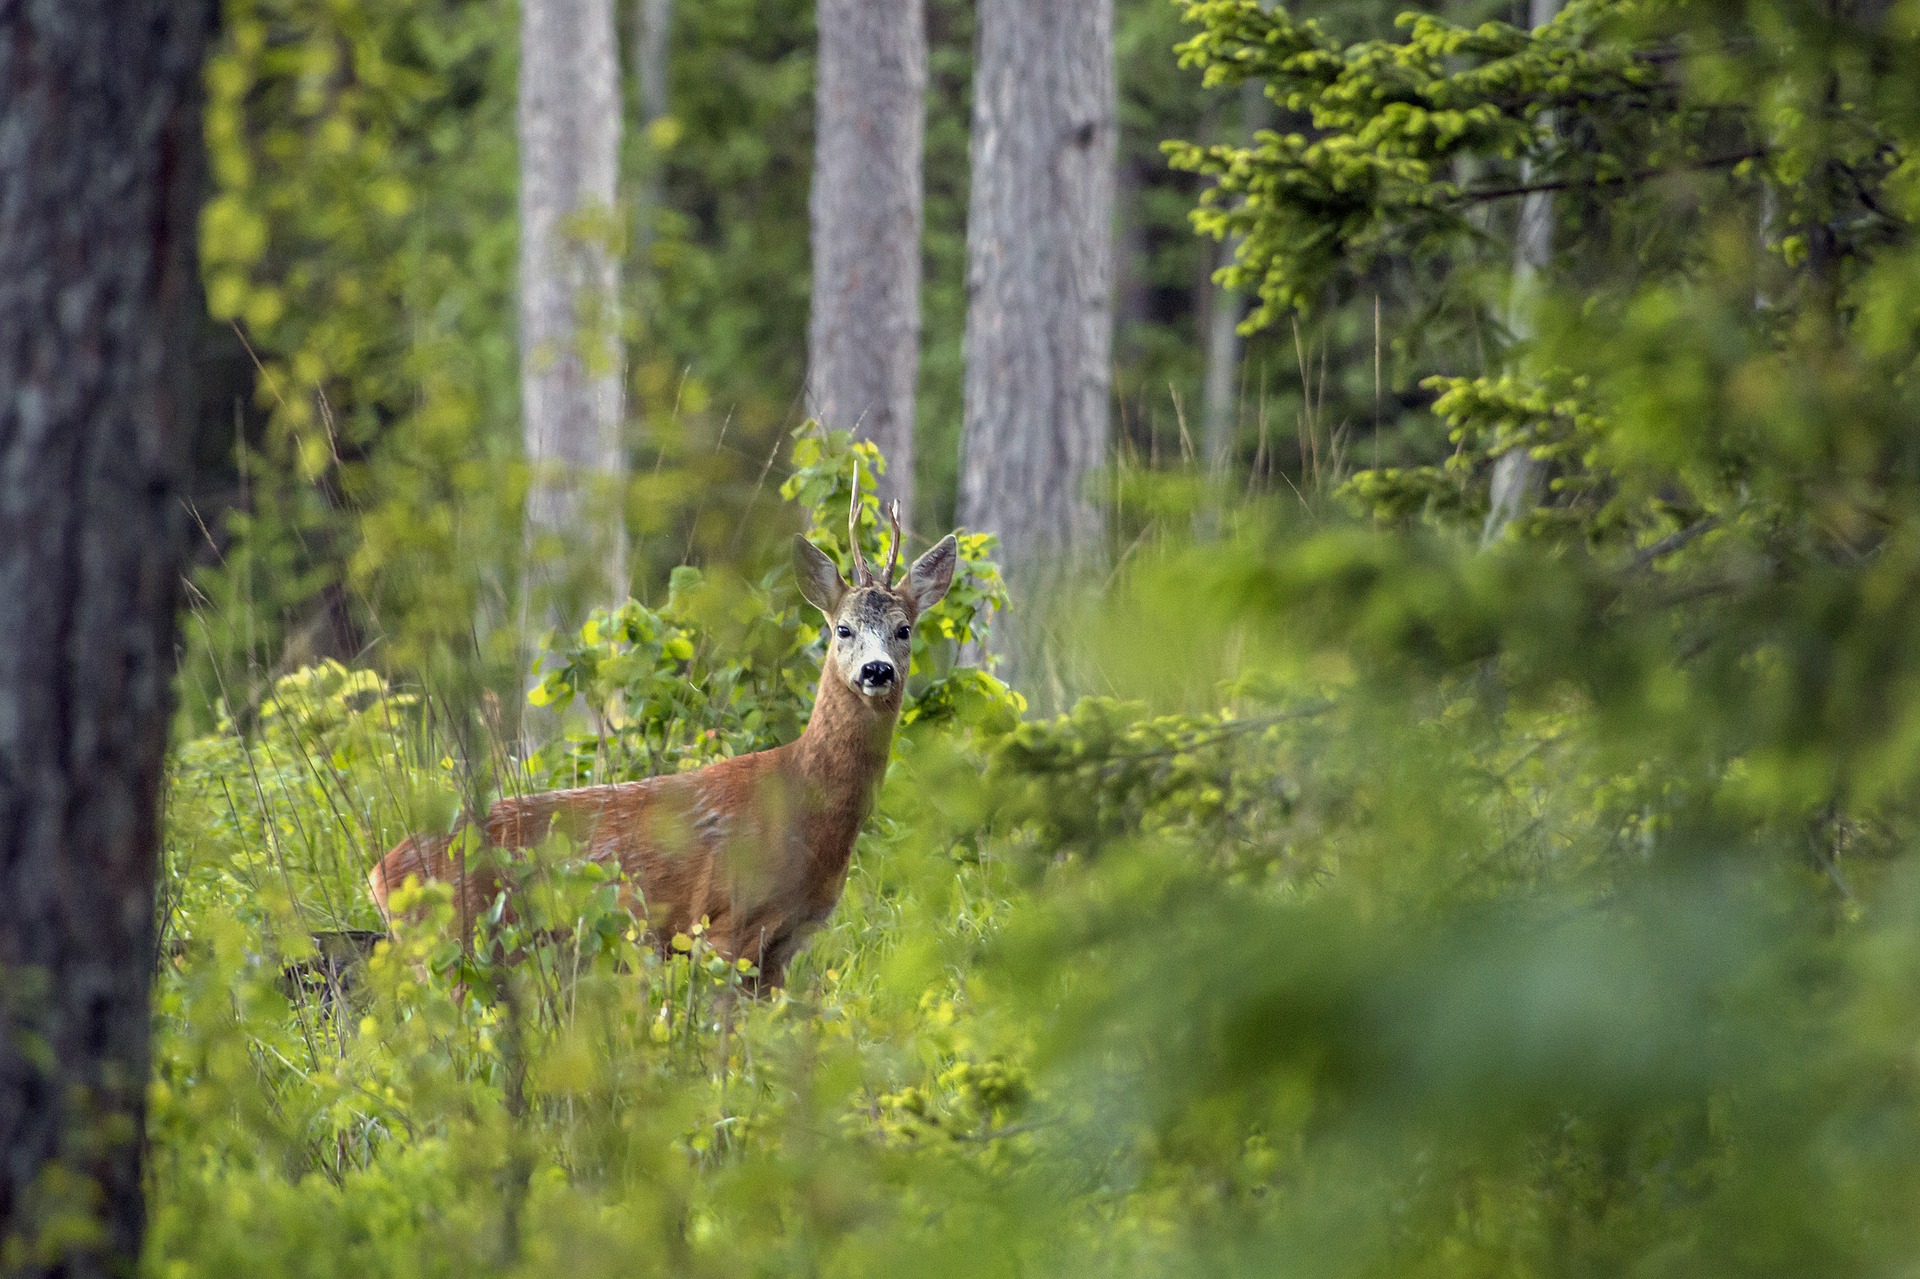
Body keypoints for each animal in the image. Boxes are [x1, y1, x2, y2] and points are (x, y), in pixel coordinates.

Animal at [368, 478, 960, 983]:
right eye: (843, 628)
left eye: (904, 629)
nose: (877, 671)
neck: (803, 807)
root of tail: (381, 872)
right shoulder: (725, 926)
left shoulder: (785, 946)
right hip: (460, 947)